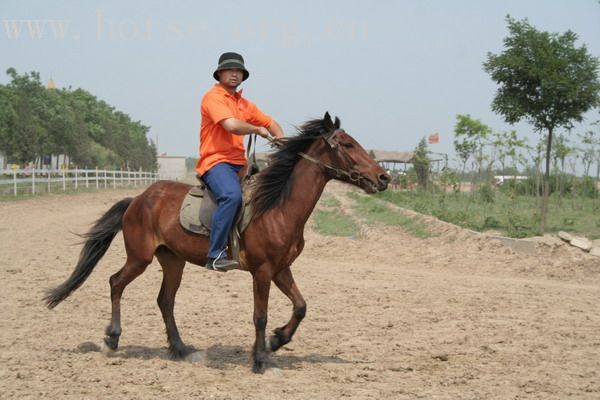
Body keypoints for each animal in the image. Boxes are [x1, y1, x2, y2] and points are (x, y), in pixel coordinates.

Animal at [43, 111, 390, 372]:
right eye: (347, 144)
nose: (384, 177)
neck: (276, 206)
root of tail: (138, 200)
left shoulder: (281, 269)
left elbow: (301, 306)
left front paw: (277, 340)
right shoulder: (263, 272)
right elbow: (260, 315)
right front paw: (260, 358)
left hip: (173, 260)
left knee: (164, 300)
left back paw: (181, 349)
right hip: (140, 257)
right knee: (116, 283)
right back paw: (113, 339)